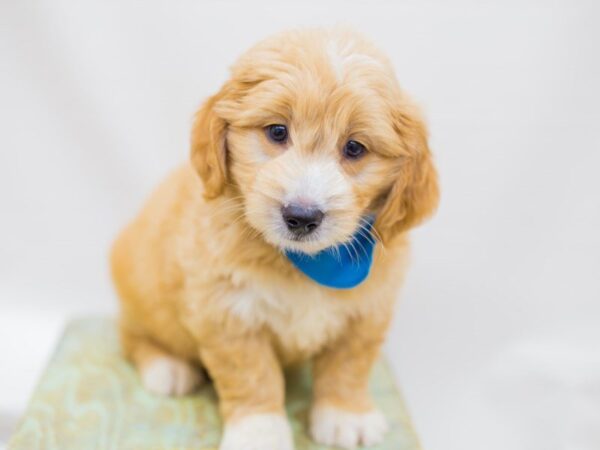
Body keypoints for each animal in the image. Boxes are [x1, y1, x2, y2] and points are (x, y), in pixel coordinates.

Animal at [111, 28, 436, 450]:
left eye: (354, 148)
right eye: (277, 132)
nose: (301, 216)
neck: (304, 262)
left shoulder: (368, 310)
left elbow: (350, 362)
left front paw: (346, 414)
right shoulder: (226, 310)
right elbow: (251, 373)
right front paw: (259, 431)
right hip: (141, 288)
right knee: (130, 333)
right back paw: (166, 367)